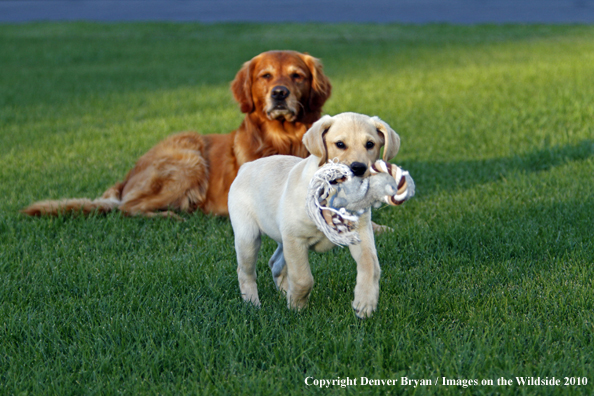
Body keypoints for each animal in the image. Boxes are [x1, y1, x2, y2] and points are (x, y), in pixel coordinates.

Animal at [22, 50, 328, 220]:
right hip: (188, 158)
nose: (280, 93)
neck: (283, 139)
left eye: (297, 76)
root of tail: (129, 175)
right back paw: (170, 215)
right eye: (265, 76)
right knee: (127, 207)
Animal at [227, 111, 398, 318]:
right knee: (246, 272)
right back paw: (253, 303)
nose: (358, 168)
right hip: (249, 237)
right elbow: (303, 278)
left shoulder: (360, 234)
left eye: (370, 144)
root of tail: (246, 166)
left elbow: (370, 265)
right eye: (340, 144)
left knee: (275, 263)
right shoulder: (296, 239)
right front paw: (297, 307)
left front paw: (365, 303)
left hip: (283, 238)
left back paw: (284, 293)